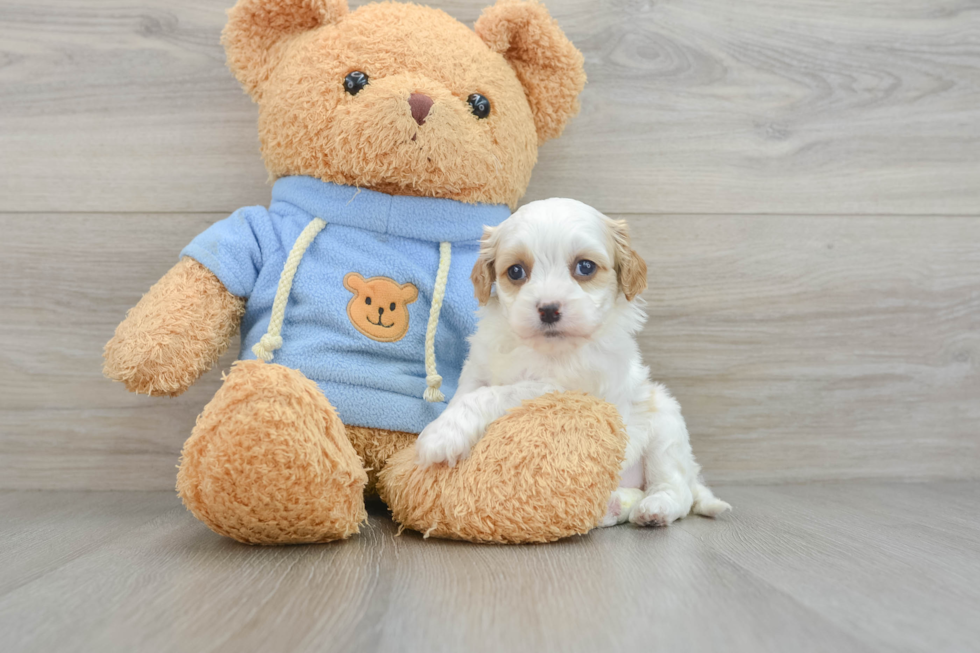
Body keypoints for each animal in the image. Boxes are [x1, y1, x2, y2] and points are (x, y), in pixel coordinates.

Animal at [414, 197, 728, 524]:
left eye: (585, 267)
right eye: (516, 272)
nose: (549, 309)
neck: (540, 349)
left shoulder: (562, 389)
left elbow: (492, 395)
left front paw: (439, 437)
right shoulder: (478, 369)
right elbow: (464, 395)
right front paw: (449, 429)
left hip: (666, 428)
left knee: (677, 490)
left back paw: (656, 509)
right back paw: (613, 506)